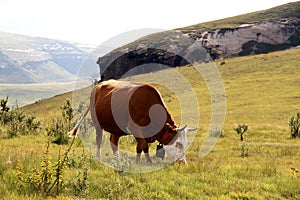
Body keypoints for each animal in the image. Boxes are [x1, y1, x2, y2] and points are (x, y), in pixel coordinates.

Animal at [67, 79, 197, 163]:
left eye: (186, 143)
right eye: (178, 143)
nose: (182, 162)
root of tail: (98, 86)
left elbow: (140, 146)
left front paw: (140, 161)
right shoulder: (135, 128)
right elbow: (143, 145)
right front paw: (146, 162)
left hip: (116, 127)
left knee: (113, 141)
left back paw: (118, 159)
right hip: (97, 123)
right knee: (99, 139)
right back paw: (99, 157)